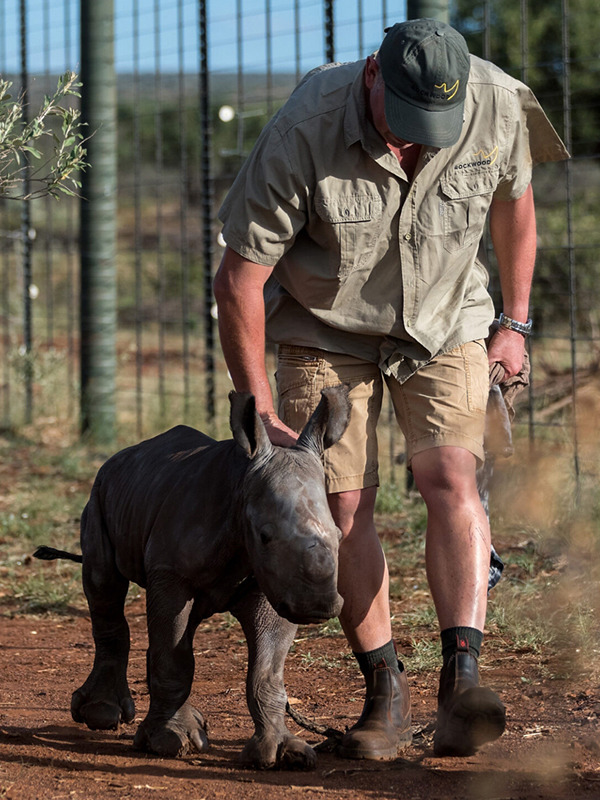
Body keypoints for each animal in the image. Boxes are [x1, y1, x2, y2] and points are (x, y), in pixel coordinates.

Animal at [35, 386, 350, 768]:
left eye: (340, 536)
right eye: (264, 536)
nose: (318, 605)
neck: (241, 485)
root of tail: (122, 455)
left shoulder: (278, 584)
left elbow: (267, 671)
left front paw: (282, 753)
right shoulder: (173, 574)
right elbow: (174, 656)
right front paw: (169, 742)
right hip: (98, 494)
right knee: (105, 586)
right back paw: (104, 716)